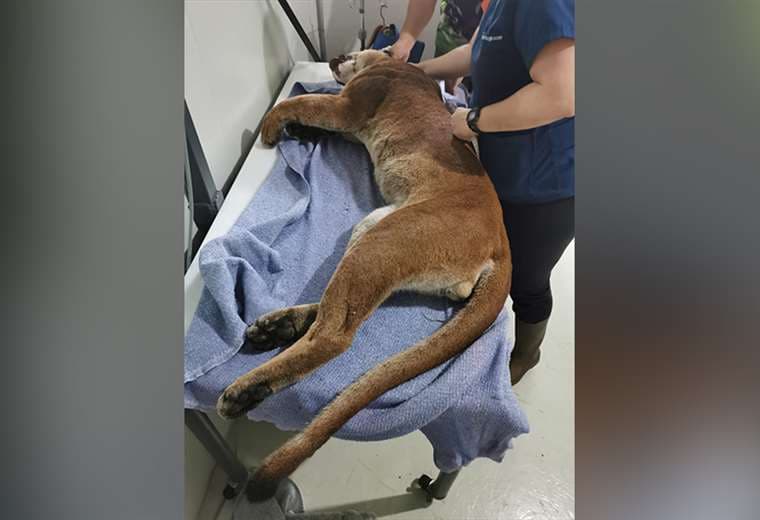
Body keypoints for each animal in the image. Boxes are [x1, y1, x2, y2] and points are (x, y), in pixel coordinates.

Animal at [217, 49, 511, 497]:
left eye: (353, 54)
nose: (337, 57)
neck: (400, 67)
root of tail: (501, 240)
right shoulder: (352, 126)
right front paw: (297, 129)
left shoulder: (346, 106)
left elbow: (299, 100)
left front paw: (274, 126)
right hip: (371, 228)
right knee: (336, 311)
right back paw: (276, 328)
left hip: (384, 241)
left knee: (334, 335)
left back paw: (246, 389)